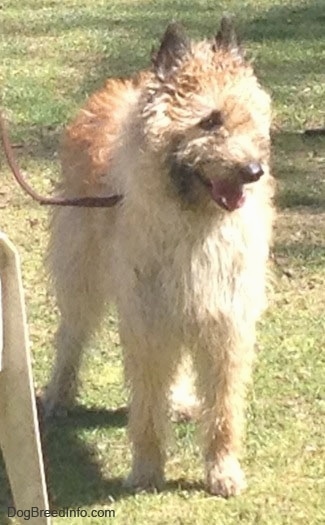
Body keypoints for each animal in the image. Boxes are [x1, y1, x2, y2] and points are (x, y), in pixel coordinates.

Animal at [43, 19, 274, 496]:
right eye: (210, 120)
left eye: (248, 117)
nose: (253, 172)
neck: (194, 223)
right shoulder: (148, 322)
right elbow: (147, 408)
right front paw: (148, 469)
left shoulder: (224, 324)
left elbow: (224, 411)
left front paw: (223, 470)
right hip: (81, 274)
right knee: (71, 334)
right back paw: (59, 394)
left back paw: (182, 398)